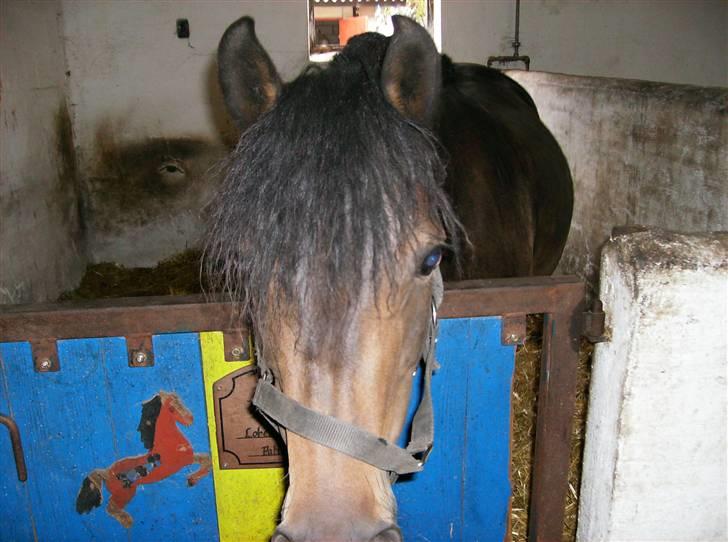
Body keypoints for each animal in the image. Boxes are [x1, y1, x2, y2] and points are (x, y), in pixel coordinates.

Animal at [75, 394, 209, 528]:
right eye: (172, 408)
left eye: (180, 400)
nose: (190, 418)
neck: (168, 442)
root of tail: (106, 473)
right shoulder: (184, 461)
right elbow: (207, 461)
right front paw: (192, 479)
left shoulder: (189, 458)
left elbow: (206, 459)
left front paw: (191, 479)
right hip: (126, 493)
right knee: (110, 508)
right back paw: (127, 521)